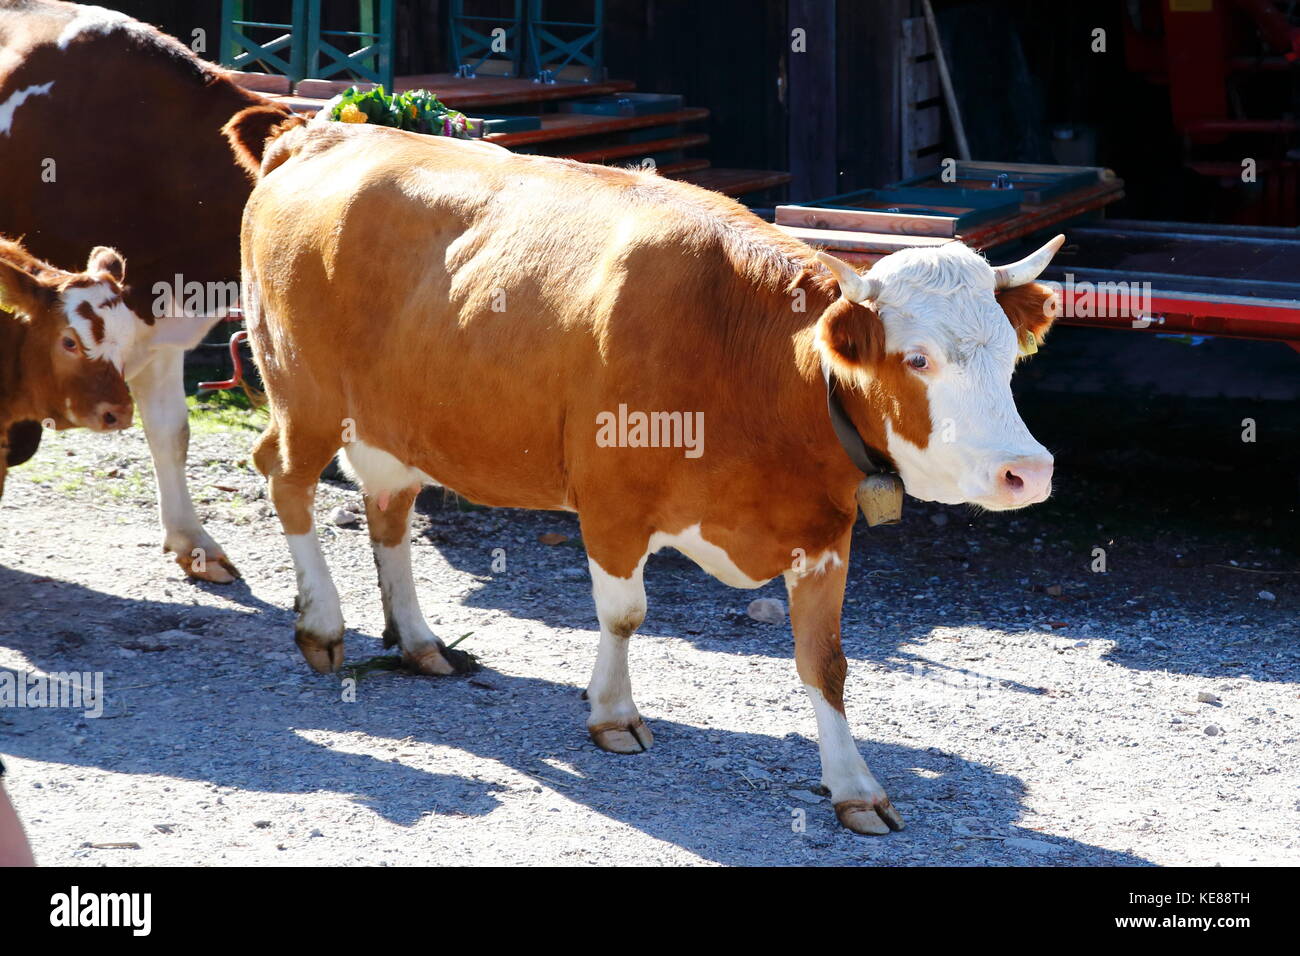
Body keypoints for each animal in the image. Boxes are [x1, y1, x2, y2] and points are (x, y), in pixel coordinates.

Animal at [233, 117, 1060, 837]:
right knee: (284, 479)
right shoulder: (612, 504)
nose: (1028, 471)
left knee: (388, 507)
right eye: (916, 359)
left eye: (1008, 355)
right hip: (304, 392)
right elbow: (625, 615)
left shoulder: (823, 531)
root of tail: (323, 131)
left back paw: (417, 640)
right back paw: (322, 624)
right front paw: (613, 714)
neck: (747, 360)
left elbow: (825, 662)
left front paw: (855, 788)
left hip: (395, 422)